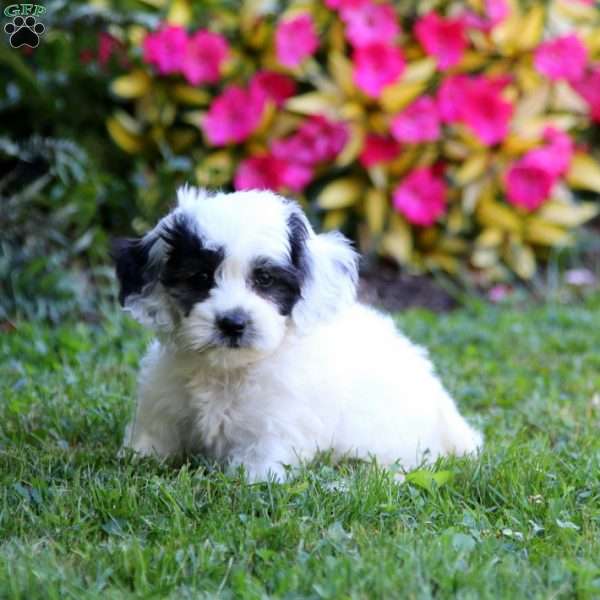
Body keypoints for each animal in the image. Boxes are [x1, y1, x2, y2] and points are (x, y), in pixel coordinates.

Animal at [113, 188, 482, 482]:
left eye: (264, 279)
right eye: (200, 277)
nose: (232, 323)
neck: (229, 369)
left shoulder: (277, 423)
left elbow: (260, 464)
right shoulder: (164, 398)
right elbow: (155, 431)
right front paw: (138, 458)